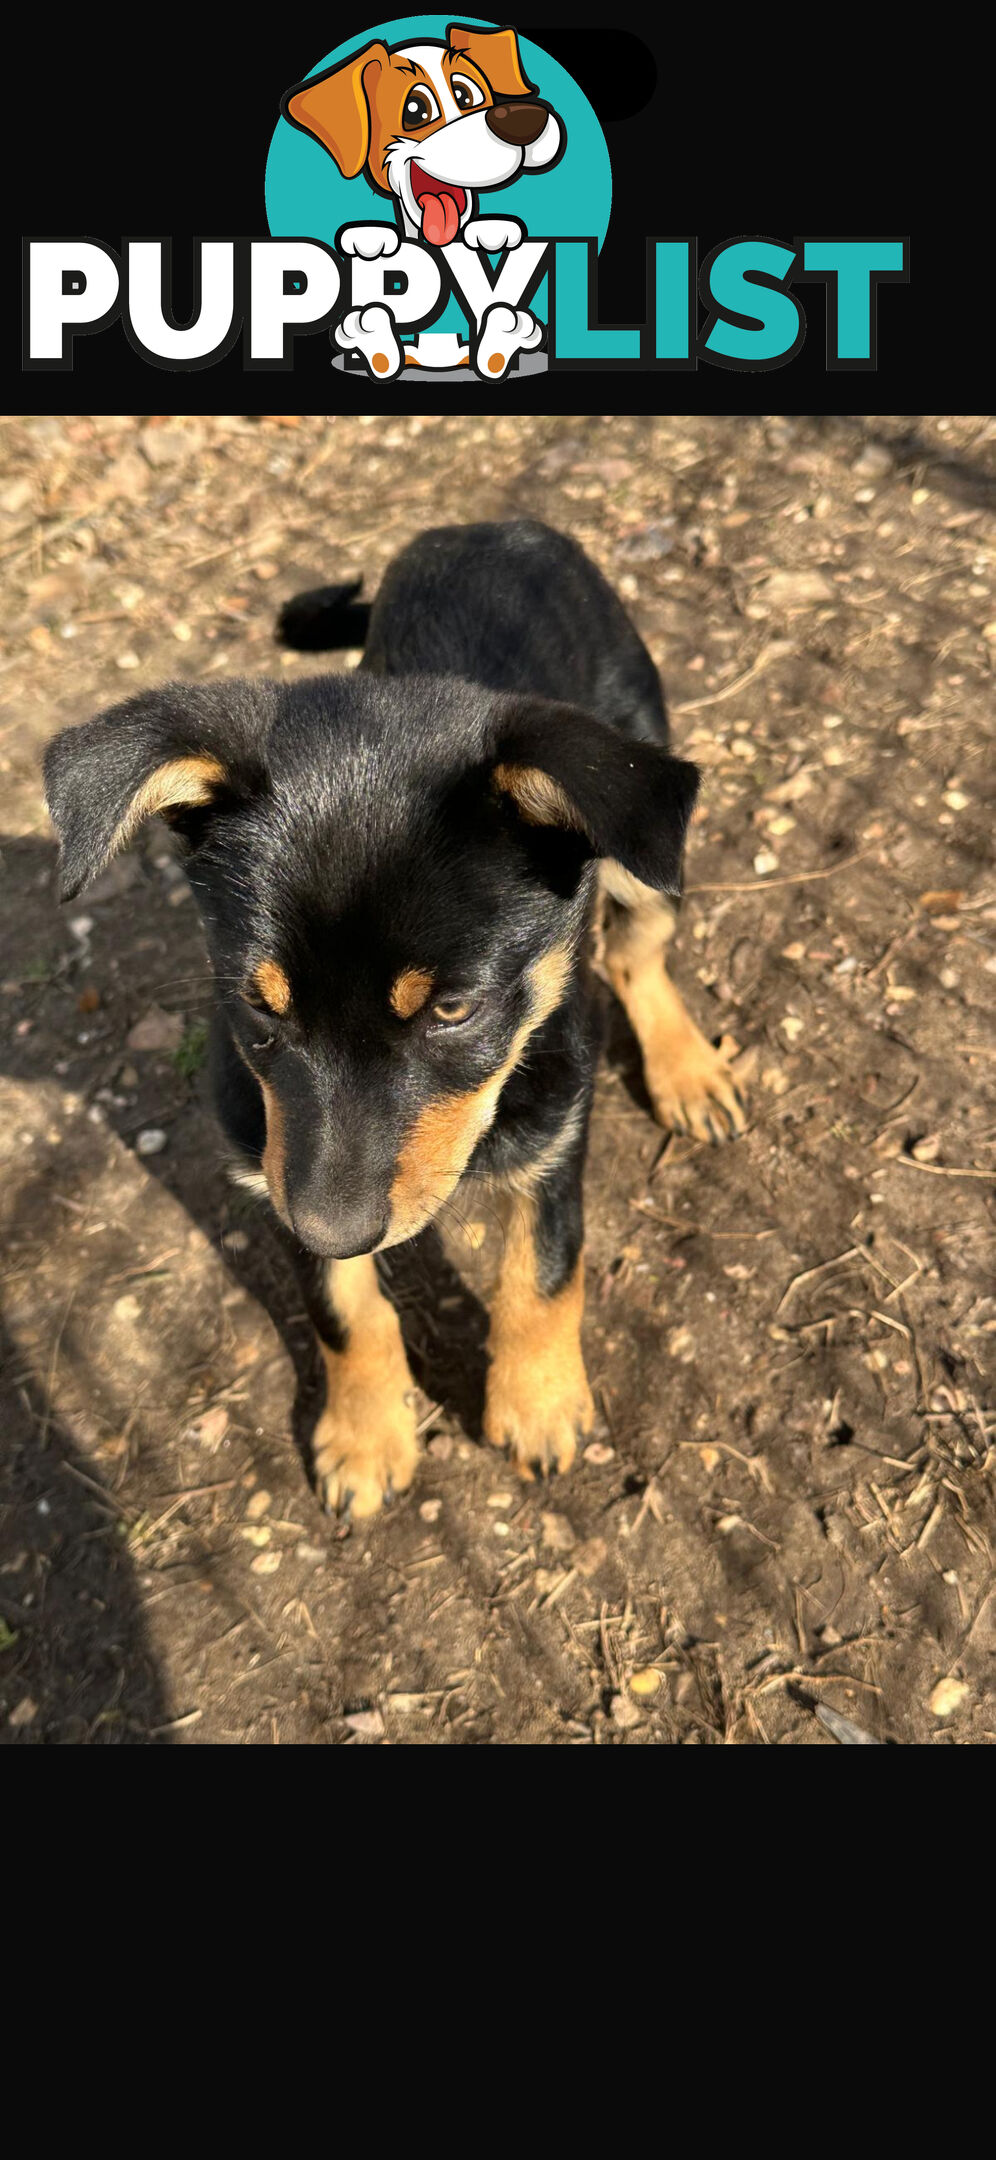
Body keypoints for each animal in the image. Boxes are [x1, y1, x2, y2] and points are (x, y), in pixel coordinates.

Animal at [46, 518, 743, 1520]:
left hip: (642, 848)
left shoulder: (557, 1118)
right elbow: (345, 1309)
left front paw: (539, 1403)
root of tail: (493, 527)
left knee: (635, 953)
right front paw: (365, 1433)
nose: (334, 1229)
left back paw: (688, 1070)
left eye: (453, 1008)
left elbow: (544, 1266)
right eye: (256, 1002)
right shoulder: (273, 1156)